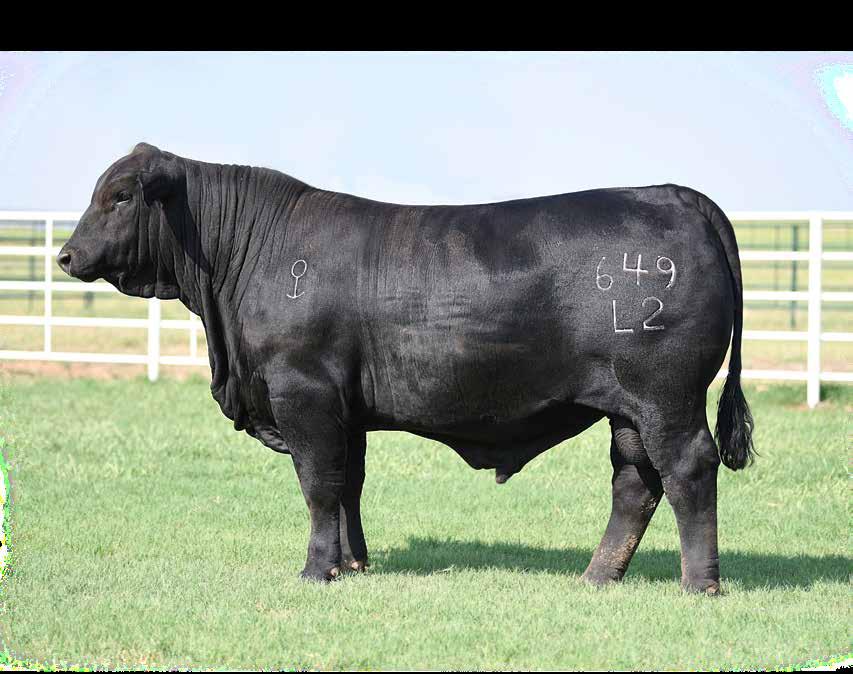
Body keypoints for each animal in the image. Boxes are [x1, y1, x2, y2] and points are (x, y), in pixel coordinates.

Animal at [58, 143, 754, 593]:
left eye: (121, 196)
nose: (66, 254)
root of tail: (670, 193)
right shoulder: (344, 410)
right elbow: (348, 484)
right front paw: (352, 563)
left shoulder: (303, 392)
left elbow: (318, 484)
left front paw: (316, 571)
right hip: (628, 409)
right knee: (636, 482)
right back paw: (597, 577)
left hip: (666, 395)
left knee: (688, 468)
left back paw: (700, 584)